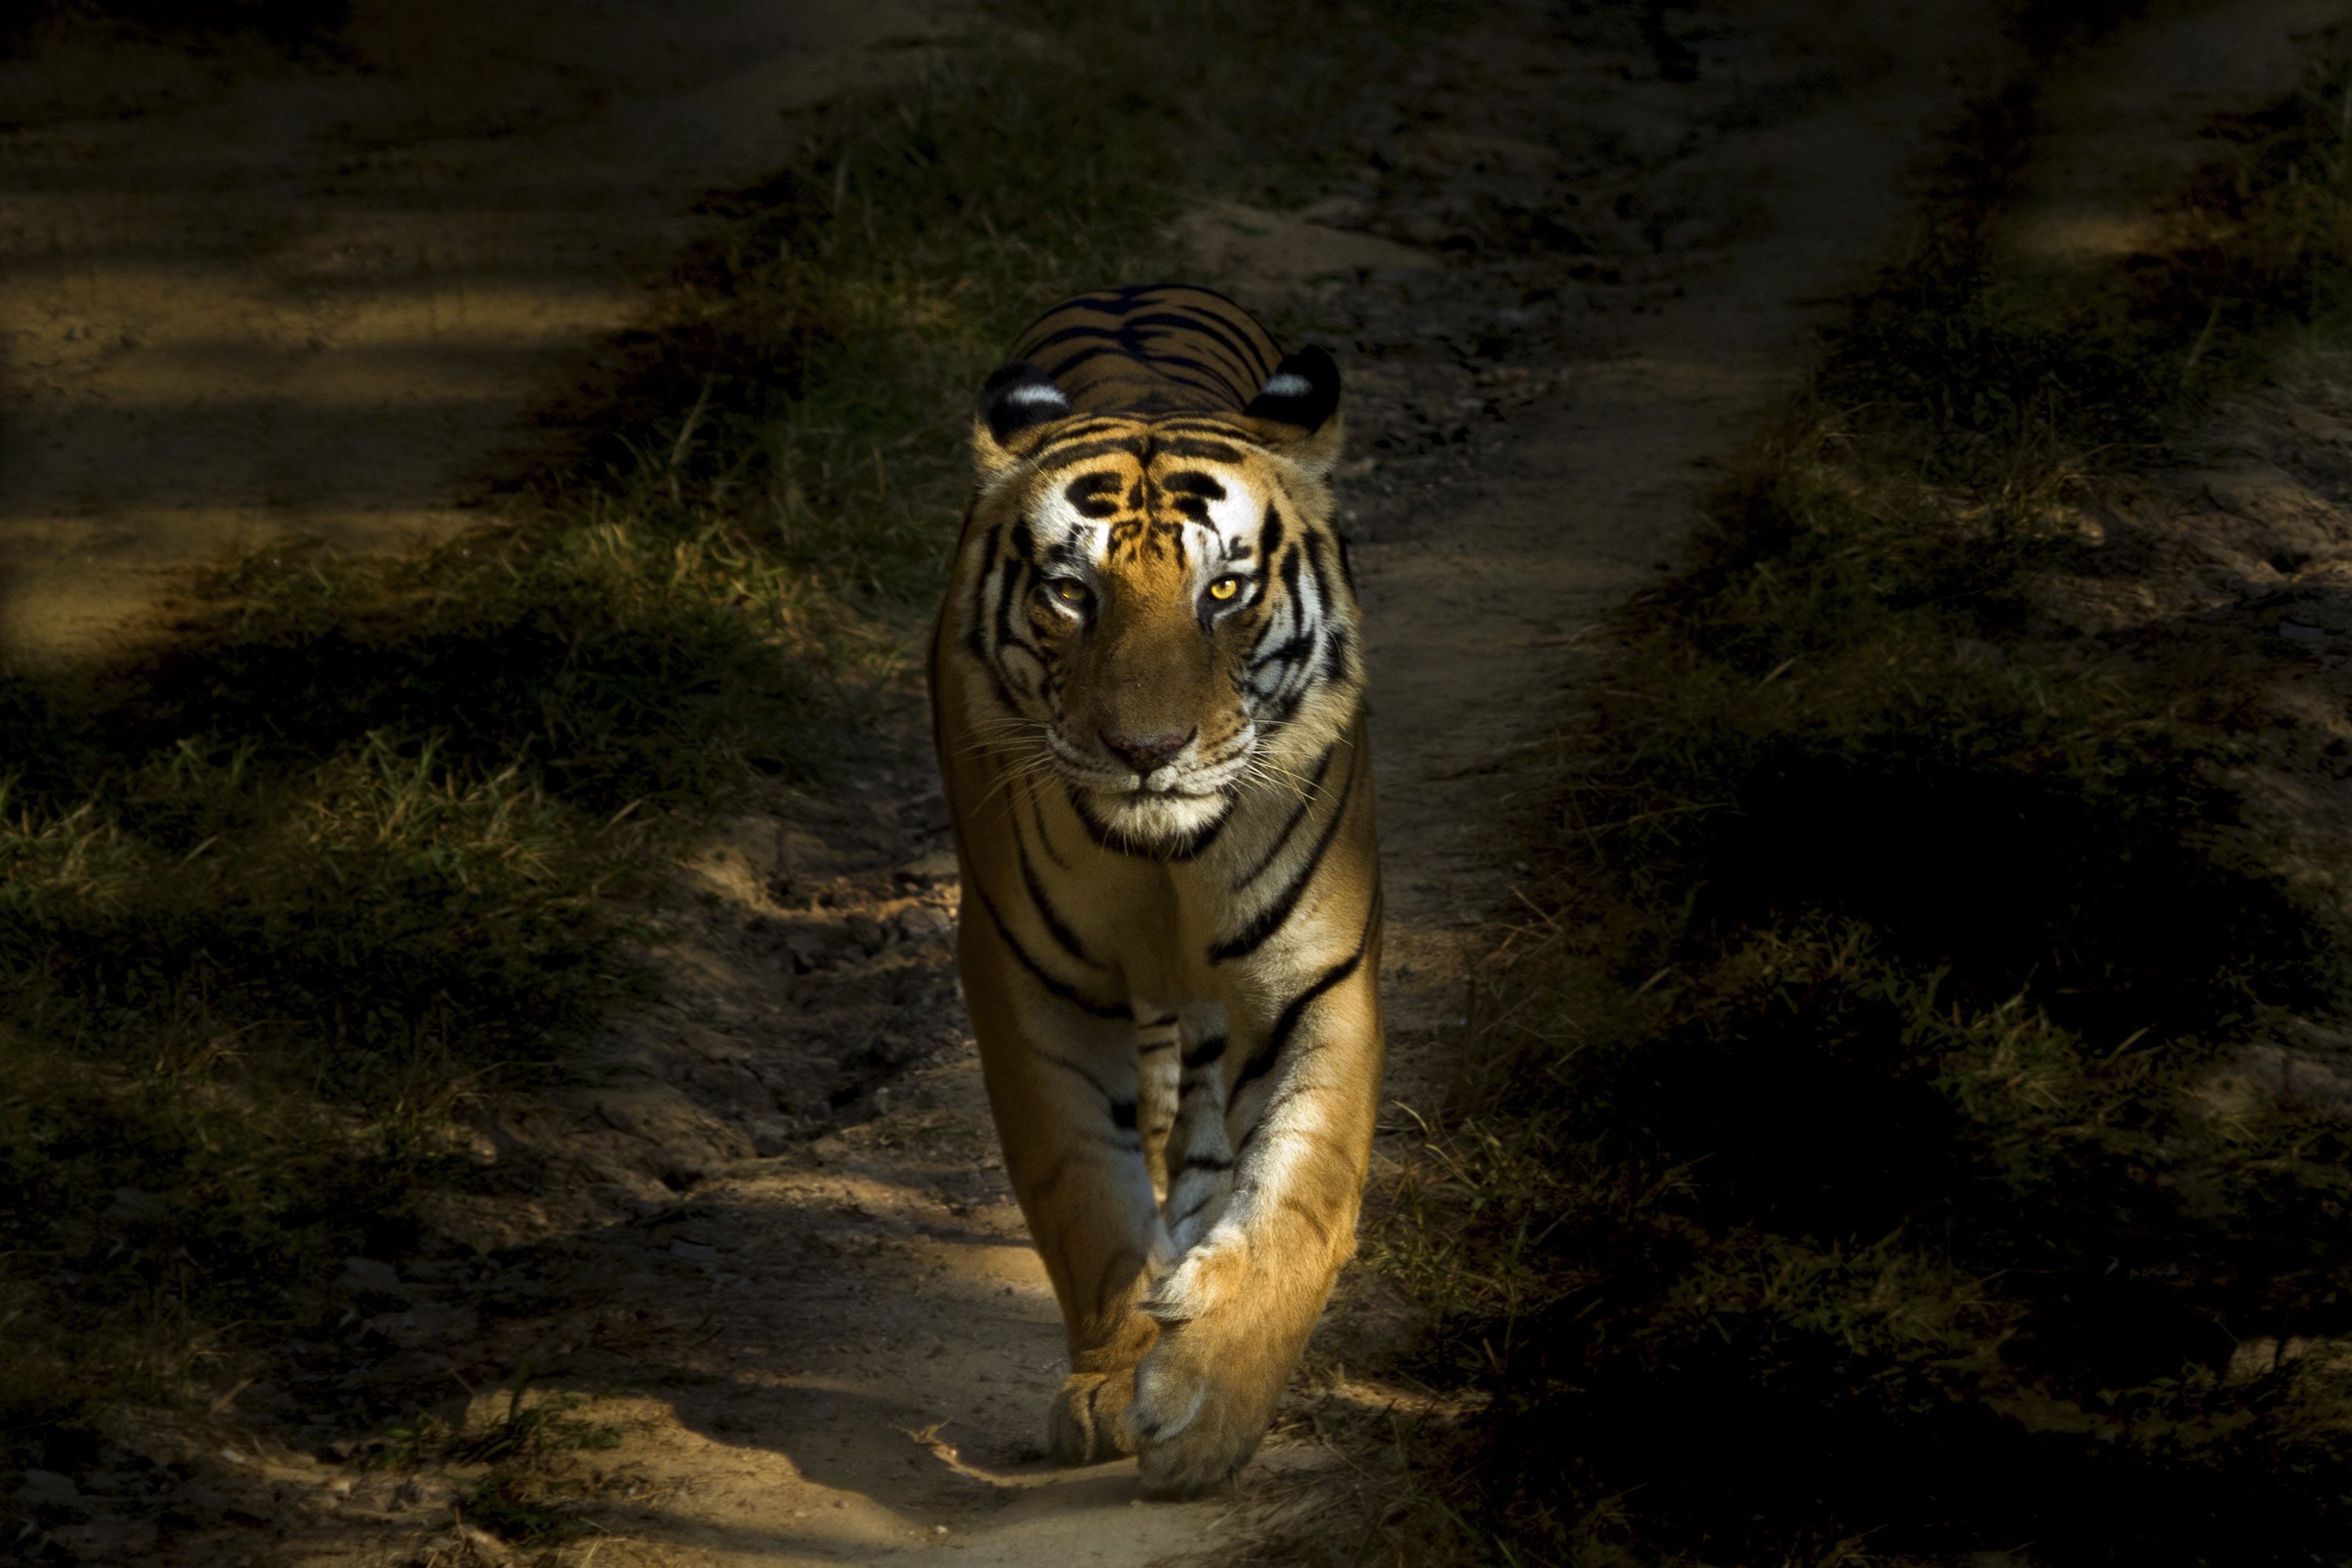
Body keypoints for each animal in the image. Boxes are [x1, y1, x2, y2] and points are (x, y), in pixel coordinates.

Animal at [931, 278, 1383, 1495]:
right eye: (1071, 594)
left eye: (1222, 589)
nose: (1147, 751)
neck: (1164, 859)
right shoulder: (1025, 980)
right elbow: (1080, 1189)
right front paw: (1109, 1380)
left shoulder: (1315, 975)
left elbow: (1299, 1196)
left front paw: (1210, 1403)